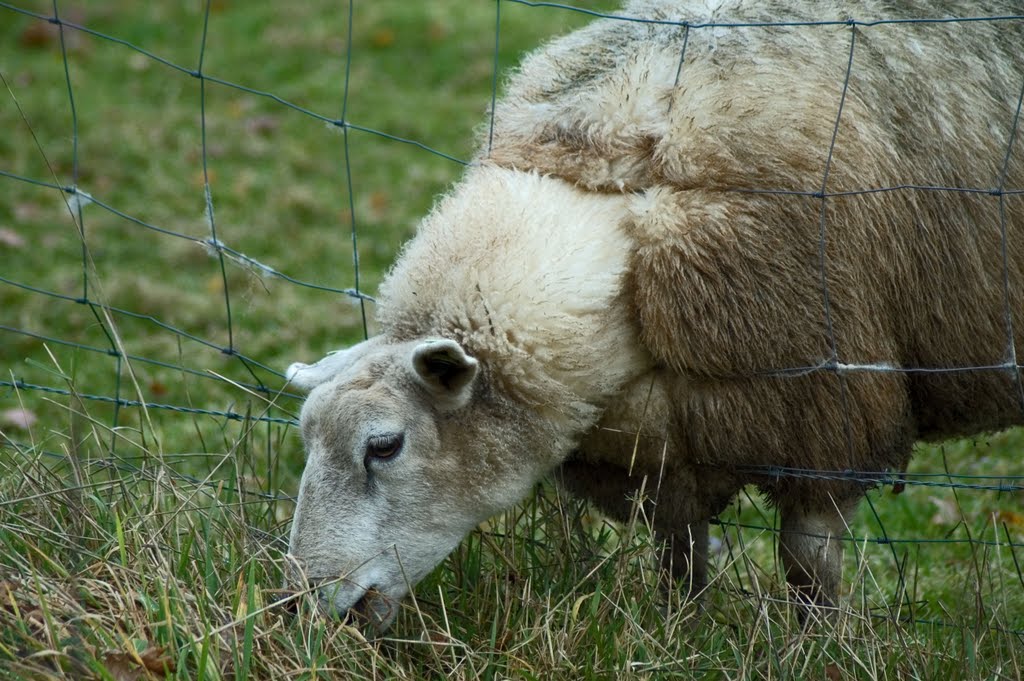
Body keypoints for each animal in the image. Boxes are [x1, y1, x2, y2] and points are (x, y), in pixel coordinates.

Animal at [282, 0, 1024, 630]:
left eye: (385, 445)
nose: (301, 603)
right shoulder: (663, 449)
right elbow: (681, 559)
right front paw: (678, 635)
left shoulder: (825, 416)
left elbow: (808, 564)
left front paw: (822, 647)